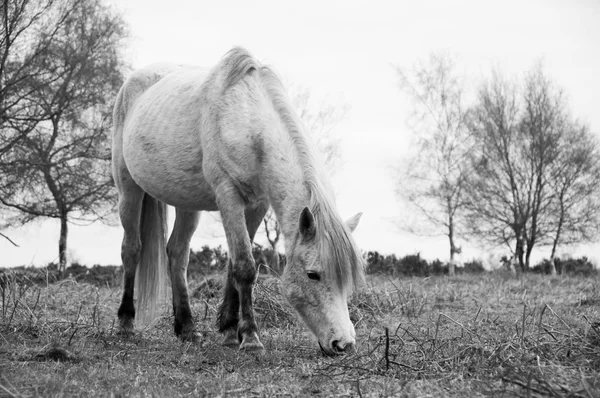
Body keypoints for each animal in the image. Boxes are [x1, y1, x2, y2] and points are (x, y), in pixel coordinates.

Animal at [113, 46, 366, 354]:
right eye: (312, 274)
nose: (344, 343)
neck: (246, 120)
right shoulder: (228, 196)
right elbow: (244, 266)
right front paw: (251, 337)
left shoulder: (257, 204)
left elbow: (234, 264)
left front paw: (229, 330)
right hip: (128, 188)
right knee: (131, 249)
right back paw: (126, 324)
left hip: (187, 204)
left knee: (177, 254)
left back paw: (187, 328)